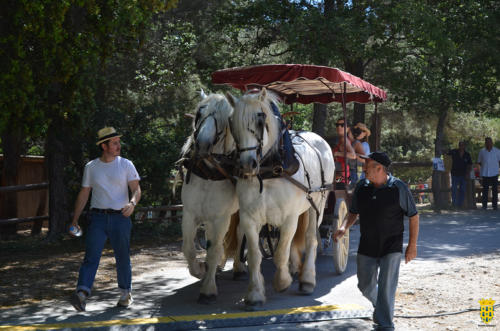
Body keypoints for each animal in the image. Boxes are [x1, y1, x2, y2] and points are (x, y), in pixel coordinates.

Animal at [181, 90, 245, 304]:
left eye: (225, 119)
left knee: (242, 234)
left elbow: (215, 248)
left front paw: (208, 289)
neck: (208, 174)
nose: (202, 144)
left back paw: (239, 268)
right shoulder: (190, 214)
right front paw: (200, 271)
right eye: (200, 112)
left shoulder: (220, 217)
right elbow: (189, 247)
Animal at [229, 89, 334, 308]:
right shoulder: (249, 218)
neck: (269, 172)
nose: (247, 165)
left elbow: (280, 252)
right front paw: (255, 294)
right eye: (232, 123)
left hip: (318, 203)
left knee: (311, 238)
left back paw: (307, 279)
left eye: (260, 120)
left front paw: (282, 281)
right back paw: (294, 267)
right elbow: (255, 255)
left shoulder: (289, 217)